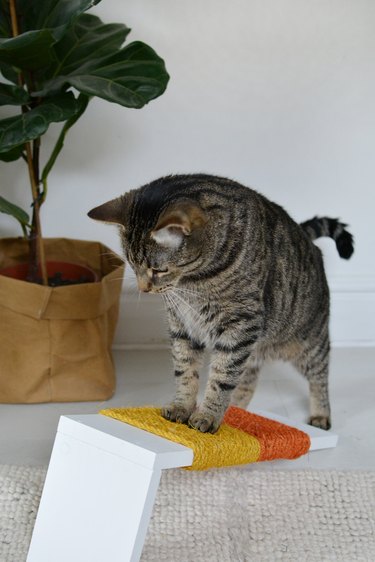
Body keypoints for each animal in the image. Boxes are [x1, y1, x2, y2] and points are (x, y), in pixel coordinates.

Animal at [89, 173, 354, 430]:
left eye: (158, 270)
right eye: (132, 266)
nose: (144, 289)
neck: (192, 282)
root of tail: (305, 236)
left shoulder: (240, 325)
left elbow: (222, 377)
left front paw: (207, 416)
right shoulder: (182, 326)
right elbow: (186, 370)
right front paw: (182, 407)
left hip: (308, 343)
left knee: (320, 376)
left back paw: (320, 415)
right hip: (256, 351)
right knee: (247, 382)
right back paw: (236, 412)